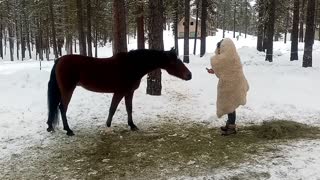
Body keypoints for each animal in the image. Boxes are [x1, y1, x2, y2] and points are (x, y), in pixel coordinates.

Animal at [46, 48, 191, 136]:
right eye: (175, 62)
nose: (189, 75)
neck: (132, 65)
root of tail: (59, 60)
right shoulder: (120, 92)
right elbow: (113, 108)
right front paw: (109, 125)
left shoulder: (128, 92)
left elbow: (128, 108)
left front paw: (131, 125)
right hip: (67, 90)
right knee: (62, 108)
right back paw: (68, 130)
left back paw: (51, 126)